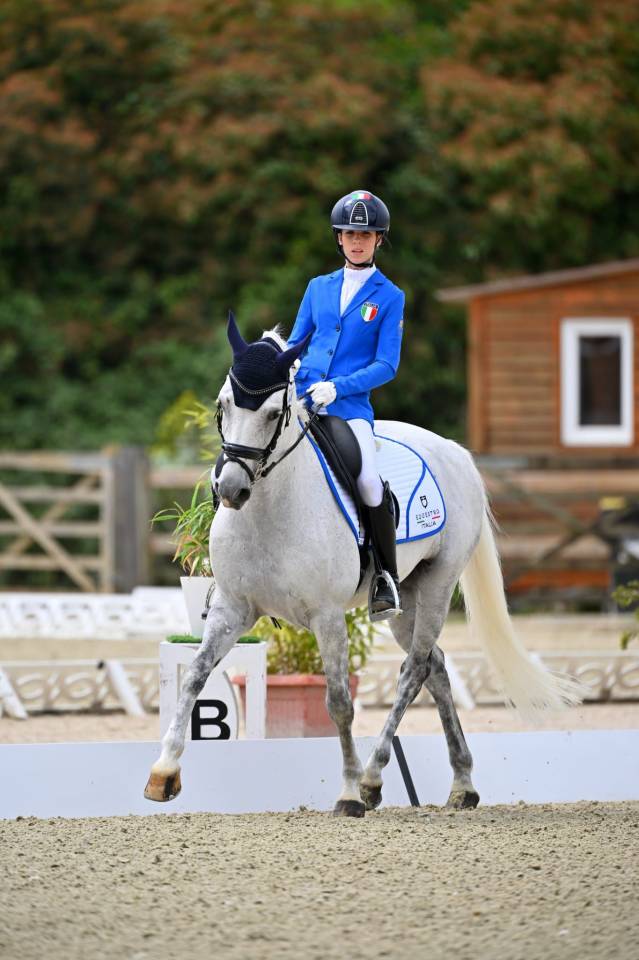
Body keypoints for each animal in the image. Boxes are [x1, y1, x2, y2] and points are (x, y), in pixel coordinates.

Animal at [144, 316, 582, 815]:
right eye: (223, 405)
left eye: (273, 413)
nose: (232, 488)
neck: (270, 509)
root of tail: (454, 452)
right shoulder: (232, 609)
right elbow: (195, 677)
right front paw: (163, 773)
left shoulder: (327, 615)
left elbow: (339, 701)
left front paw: (349, 793)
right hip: (406, 595)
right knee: (435, 666)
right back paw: (461, 783)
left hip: (438, 583)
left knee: (414, 669)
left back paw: (374, 778)